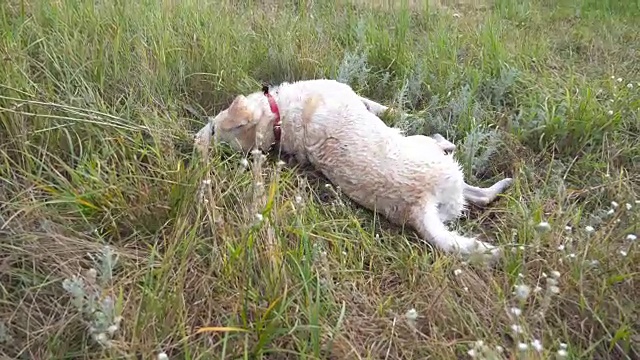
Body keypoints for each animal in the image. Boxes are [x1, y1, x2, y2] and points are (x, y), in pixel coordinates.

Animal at [192, 79, 512, 262]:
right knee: (456, 166)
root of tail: (420, 204)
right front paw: (406, 113)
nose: (196, 144)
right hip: (427, 152)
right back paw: (451, 145)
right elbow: (382, 107)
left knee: (480, 197)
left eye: (212, 129)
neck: (277, 121)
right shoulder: (352, 94)